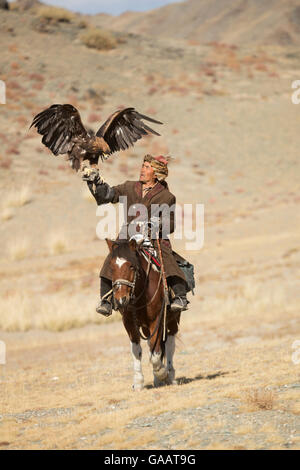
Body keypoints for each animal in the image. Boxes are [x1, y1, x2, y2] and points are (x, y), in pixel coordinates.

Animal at [105, 239, 180, 390]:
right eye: (111, 268)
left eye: (132, 266)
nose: (121, 300)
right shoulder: (129, 323)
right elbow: (137, 350)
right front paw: (138, 382)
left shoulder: (156, 321)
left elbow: (156, 353)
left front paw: (162, 372)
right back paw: (158, 380)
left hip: (171, 320)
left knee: (169, 342)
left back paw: (170, 375)